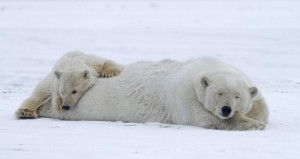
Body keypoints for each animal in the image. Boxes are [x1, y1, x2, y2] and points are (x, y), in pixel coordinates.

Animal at [34, 57, 268, 130]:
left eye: (237, 96)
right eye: (219, 93)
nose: (227, 109)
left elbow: (261, 106)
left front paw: (255, 119)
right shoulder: (184, 94)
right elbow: (203, 116)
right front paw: (252, 125)